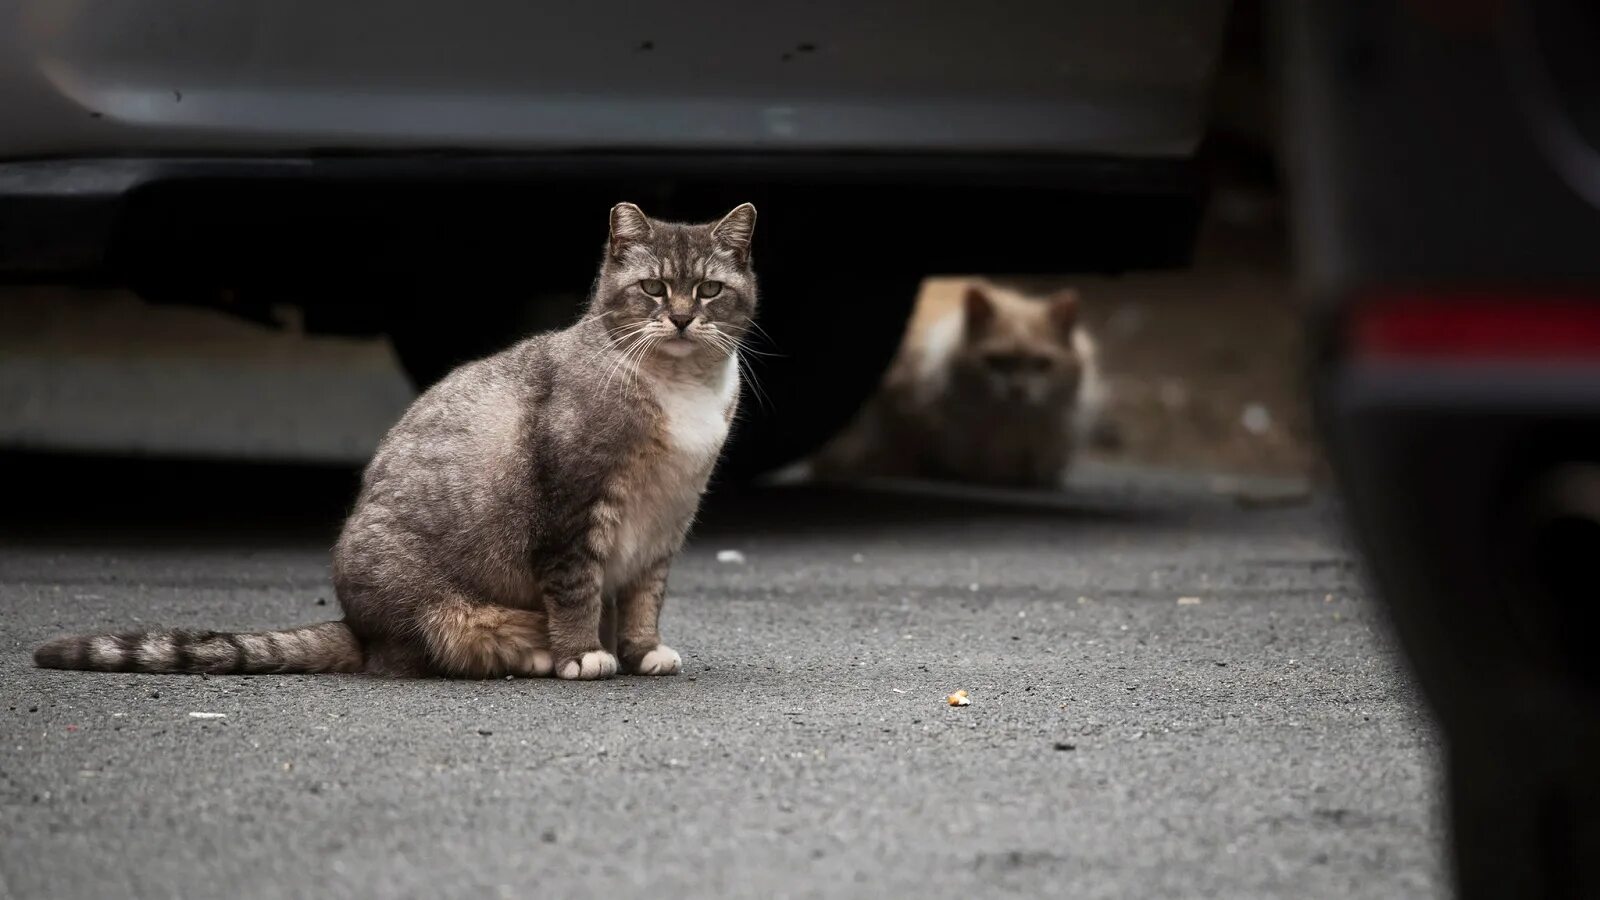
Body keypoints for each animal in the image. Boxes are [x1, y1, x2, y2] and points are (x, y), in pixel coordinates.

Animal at [36, 203, 761, 675]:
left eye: (709, 290)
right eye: (653, 287)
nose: (681, 317)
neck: (680, 388)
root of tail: (356, 627)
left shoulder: (664, 524)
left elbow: (643, 600)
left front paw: (640, 651)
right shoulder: (573, 510)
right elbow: (578, 588)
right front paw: (584, 654)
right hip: (433, 605)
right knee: (425, 652)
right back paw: (531, 653)